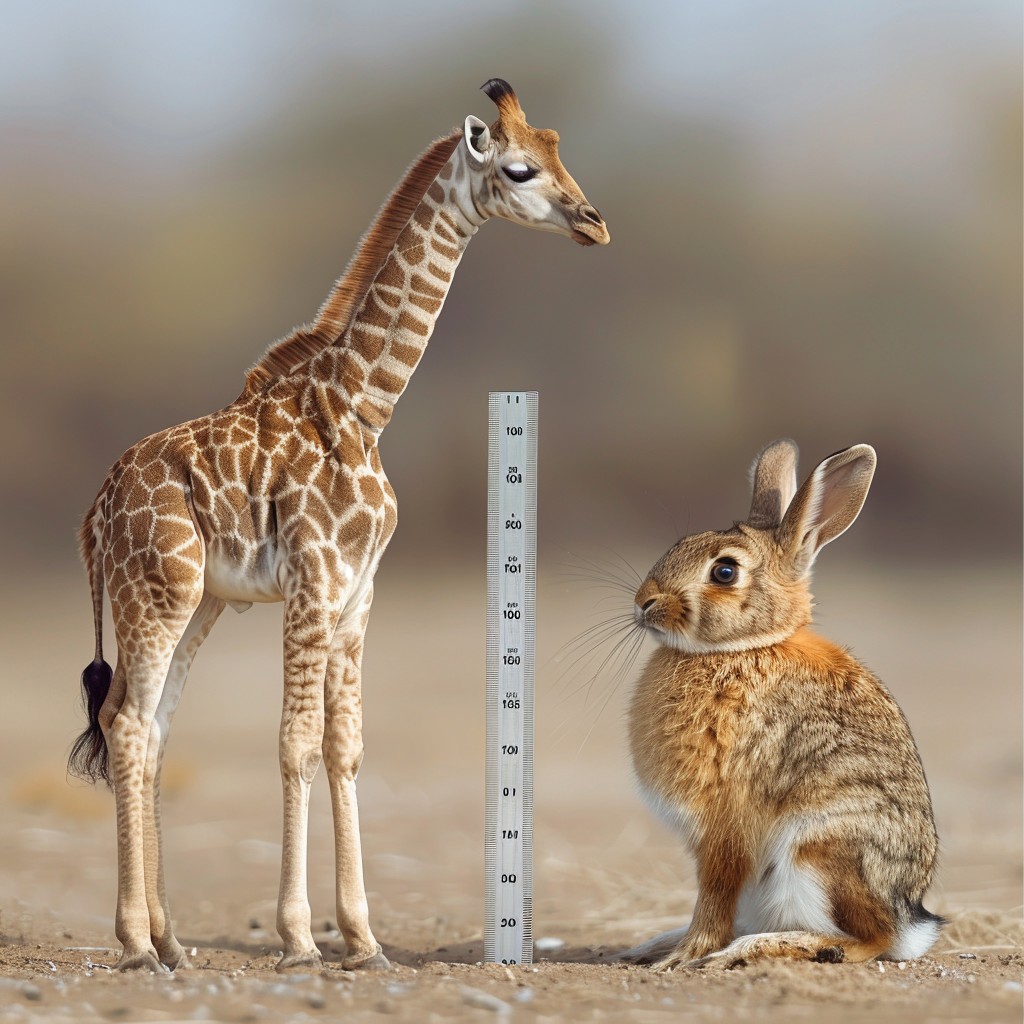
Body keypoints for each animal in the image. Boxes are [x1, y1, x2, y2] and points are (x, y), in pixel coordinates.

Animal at [68, 78, 609, 974]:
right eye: (522, 168)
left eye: (560, 148)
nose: (595, 222)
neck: (362, 403)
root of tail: (96, 511)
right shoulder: (313, 582)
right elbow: (296, 741)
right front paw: (298, 938)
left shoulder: (358, 594)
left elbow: (344, 747)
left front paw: (362, 938)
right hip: (157, 593)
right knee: (131, 728)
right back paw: (136, 942)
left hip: (199, 603)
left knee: (149, 730)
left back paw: (172, 939)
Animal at [623, 439, 943, 971]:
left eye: (724, 571)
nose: (644, 602)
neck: (745, 647)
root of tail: (910, 924)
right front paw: (675, 950)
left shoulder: (725, 820)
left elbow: (714, 890)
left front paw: (687, 956)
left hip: (816, 854)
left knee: (867, 939)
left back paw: (761, 948)